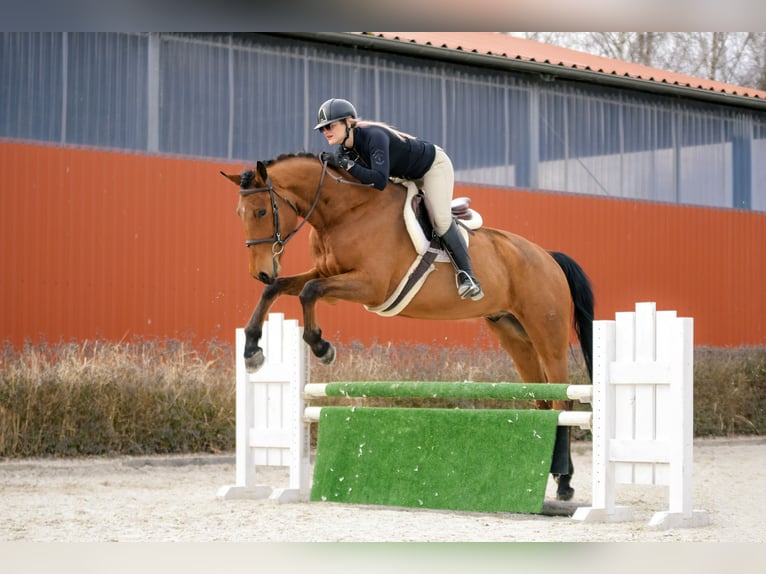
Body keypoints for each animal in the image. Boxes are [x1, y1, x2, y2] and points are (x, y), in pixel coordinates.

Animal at [221, 152, 594, 501]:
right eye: (239, 214)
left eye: (261, 212)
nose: (260, 271)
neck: (345, 212)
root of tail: (547, 256)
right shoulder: (329, 277)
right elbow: (280, 289)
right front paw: (252, 349)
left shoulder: (370, 285)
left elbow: (309, 291)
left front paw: (321, 346)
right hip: (512, 333)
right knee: (543, 401)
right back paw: (550, 474)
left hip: (546, 332)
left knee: (563, 401)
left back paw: (564, 483)